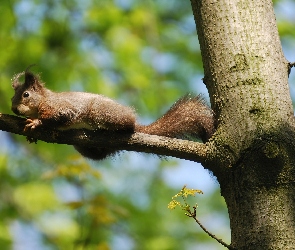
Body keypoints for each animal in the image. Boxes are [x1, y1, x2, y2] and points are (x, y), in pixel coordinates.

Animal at [11, 67, 216, 159]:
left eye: (26, 94)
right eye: (13, 96)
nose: (13, 108)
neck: (44, 100)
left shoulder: (61, 107)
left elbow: (59, 116)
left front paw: (37, 123)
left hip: (100, 112)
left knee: (127, 125)